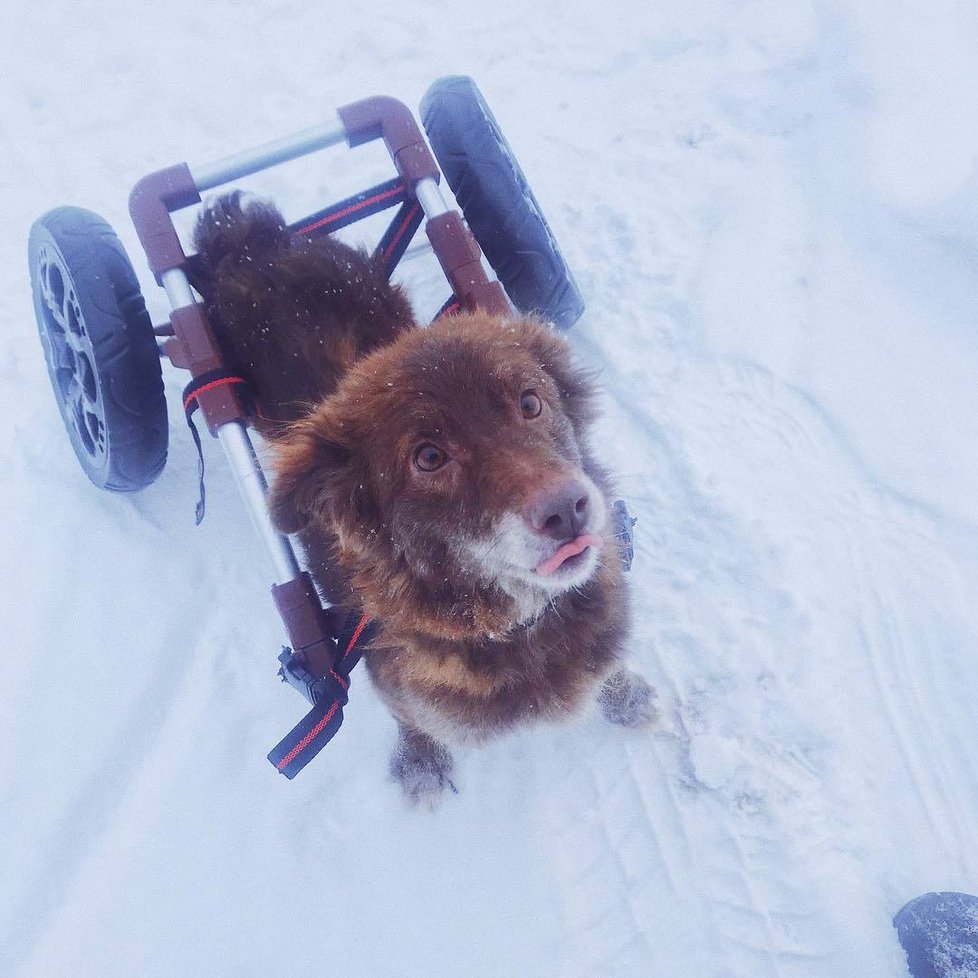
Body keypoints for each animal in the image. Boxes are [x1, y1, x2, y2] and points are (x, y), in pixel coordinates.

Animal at [193, 194, 652, 804]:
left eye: (531, 403)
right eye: (429, 457)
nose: (568, 509)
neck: (517, 623)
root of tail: (250, 236)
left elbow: (608, 669)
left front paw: (626, 696)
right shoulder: (391, 681)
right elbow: (411, 719)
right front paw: (421, 763)